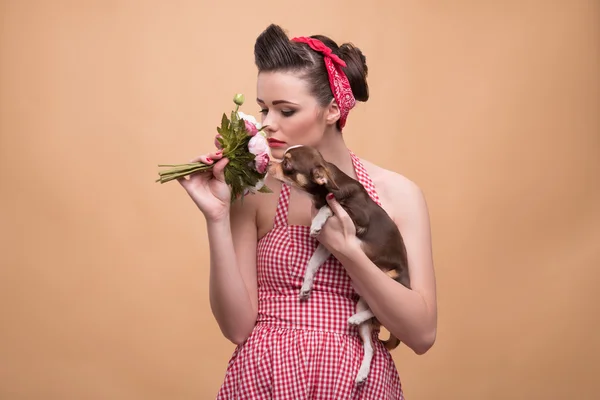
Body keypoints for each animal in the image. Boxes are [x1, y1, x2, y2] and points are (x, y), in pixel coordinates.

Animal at [268, 145, 412, 382]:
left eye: (287, 164)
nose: (268, 163)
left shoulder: (357, 220)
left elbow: (329, 208)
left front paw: (318, 220)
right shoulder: (328, 246)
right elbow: (312, 264)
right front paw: (306, 286)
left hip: (391, 280)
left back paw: (354, 318)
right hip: (365, 302)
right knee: (370, 345)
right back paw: (362, 371)